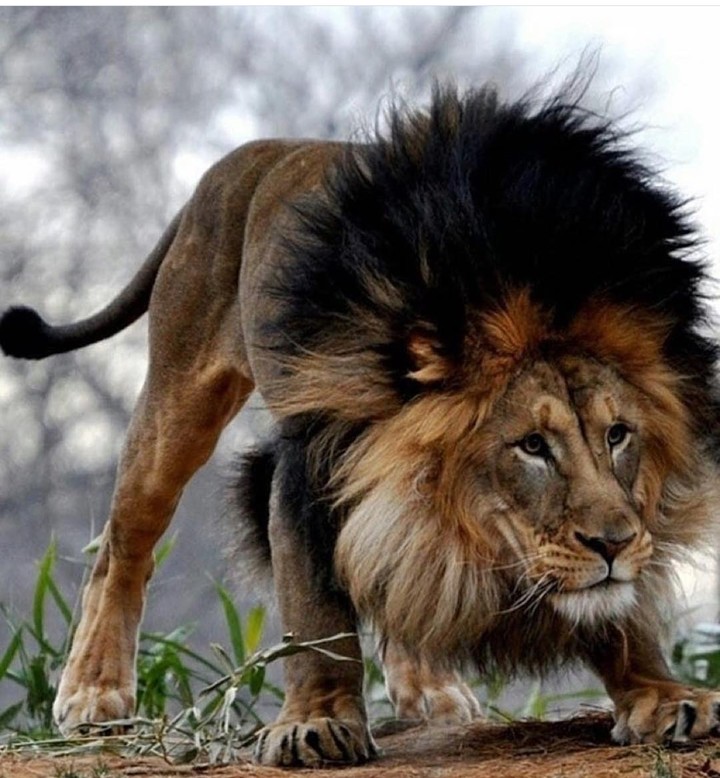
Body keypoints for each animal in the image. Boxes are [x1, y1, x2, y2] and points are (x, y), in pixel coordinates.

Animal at [3, 84, 720, 767]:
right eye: (532, 446)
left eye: (617, 434)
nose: (613, 544)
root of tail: (262, 151)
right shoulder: (308, 471)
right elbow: (318, 616)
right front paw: (316, 722)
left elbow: (615, 607)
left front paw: (661, 694)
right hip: (177, 396)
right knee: (122, 549)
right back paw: (93, 690)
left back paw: (430, 687)